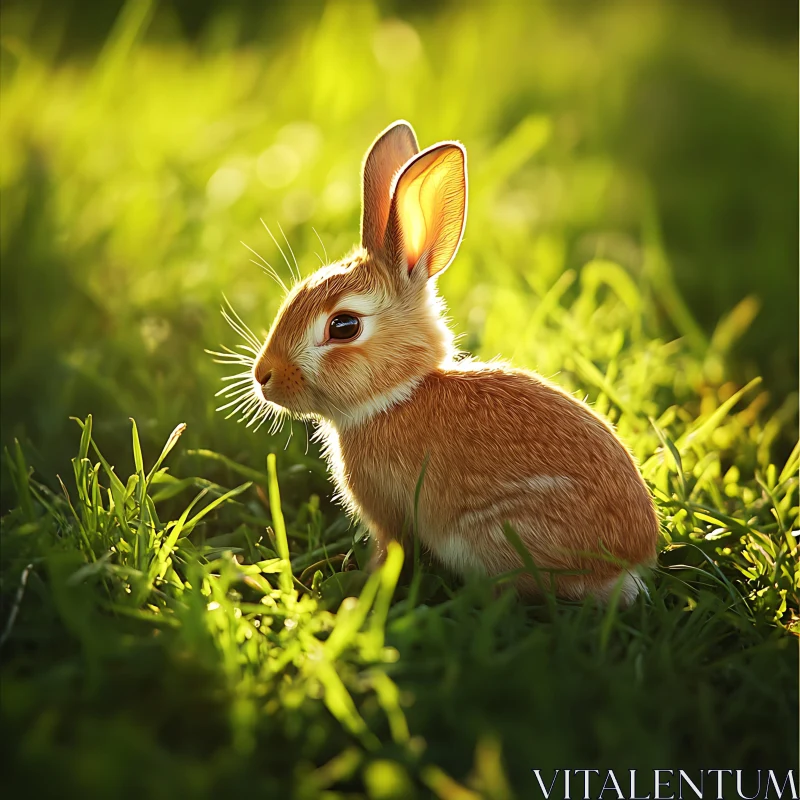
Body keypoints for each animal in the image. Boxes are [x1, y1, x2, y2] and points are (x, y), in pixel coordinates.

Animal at [230, 122, 656, 604]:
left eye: (343, 326)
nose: (263, 376)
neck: (396, 395)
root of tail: (628, 566)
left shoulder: (388, 514)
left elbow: (389, 551)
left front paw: (362, 588)